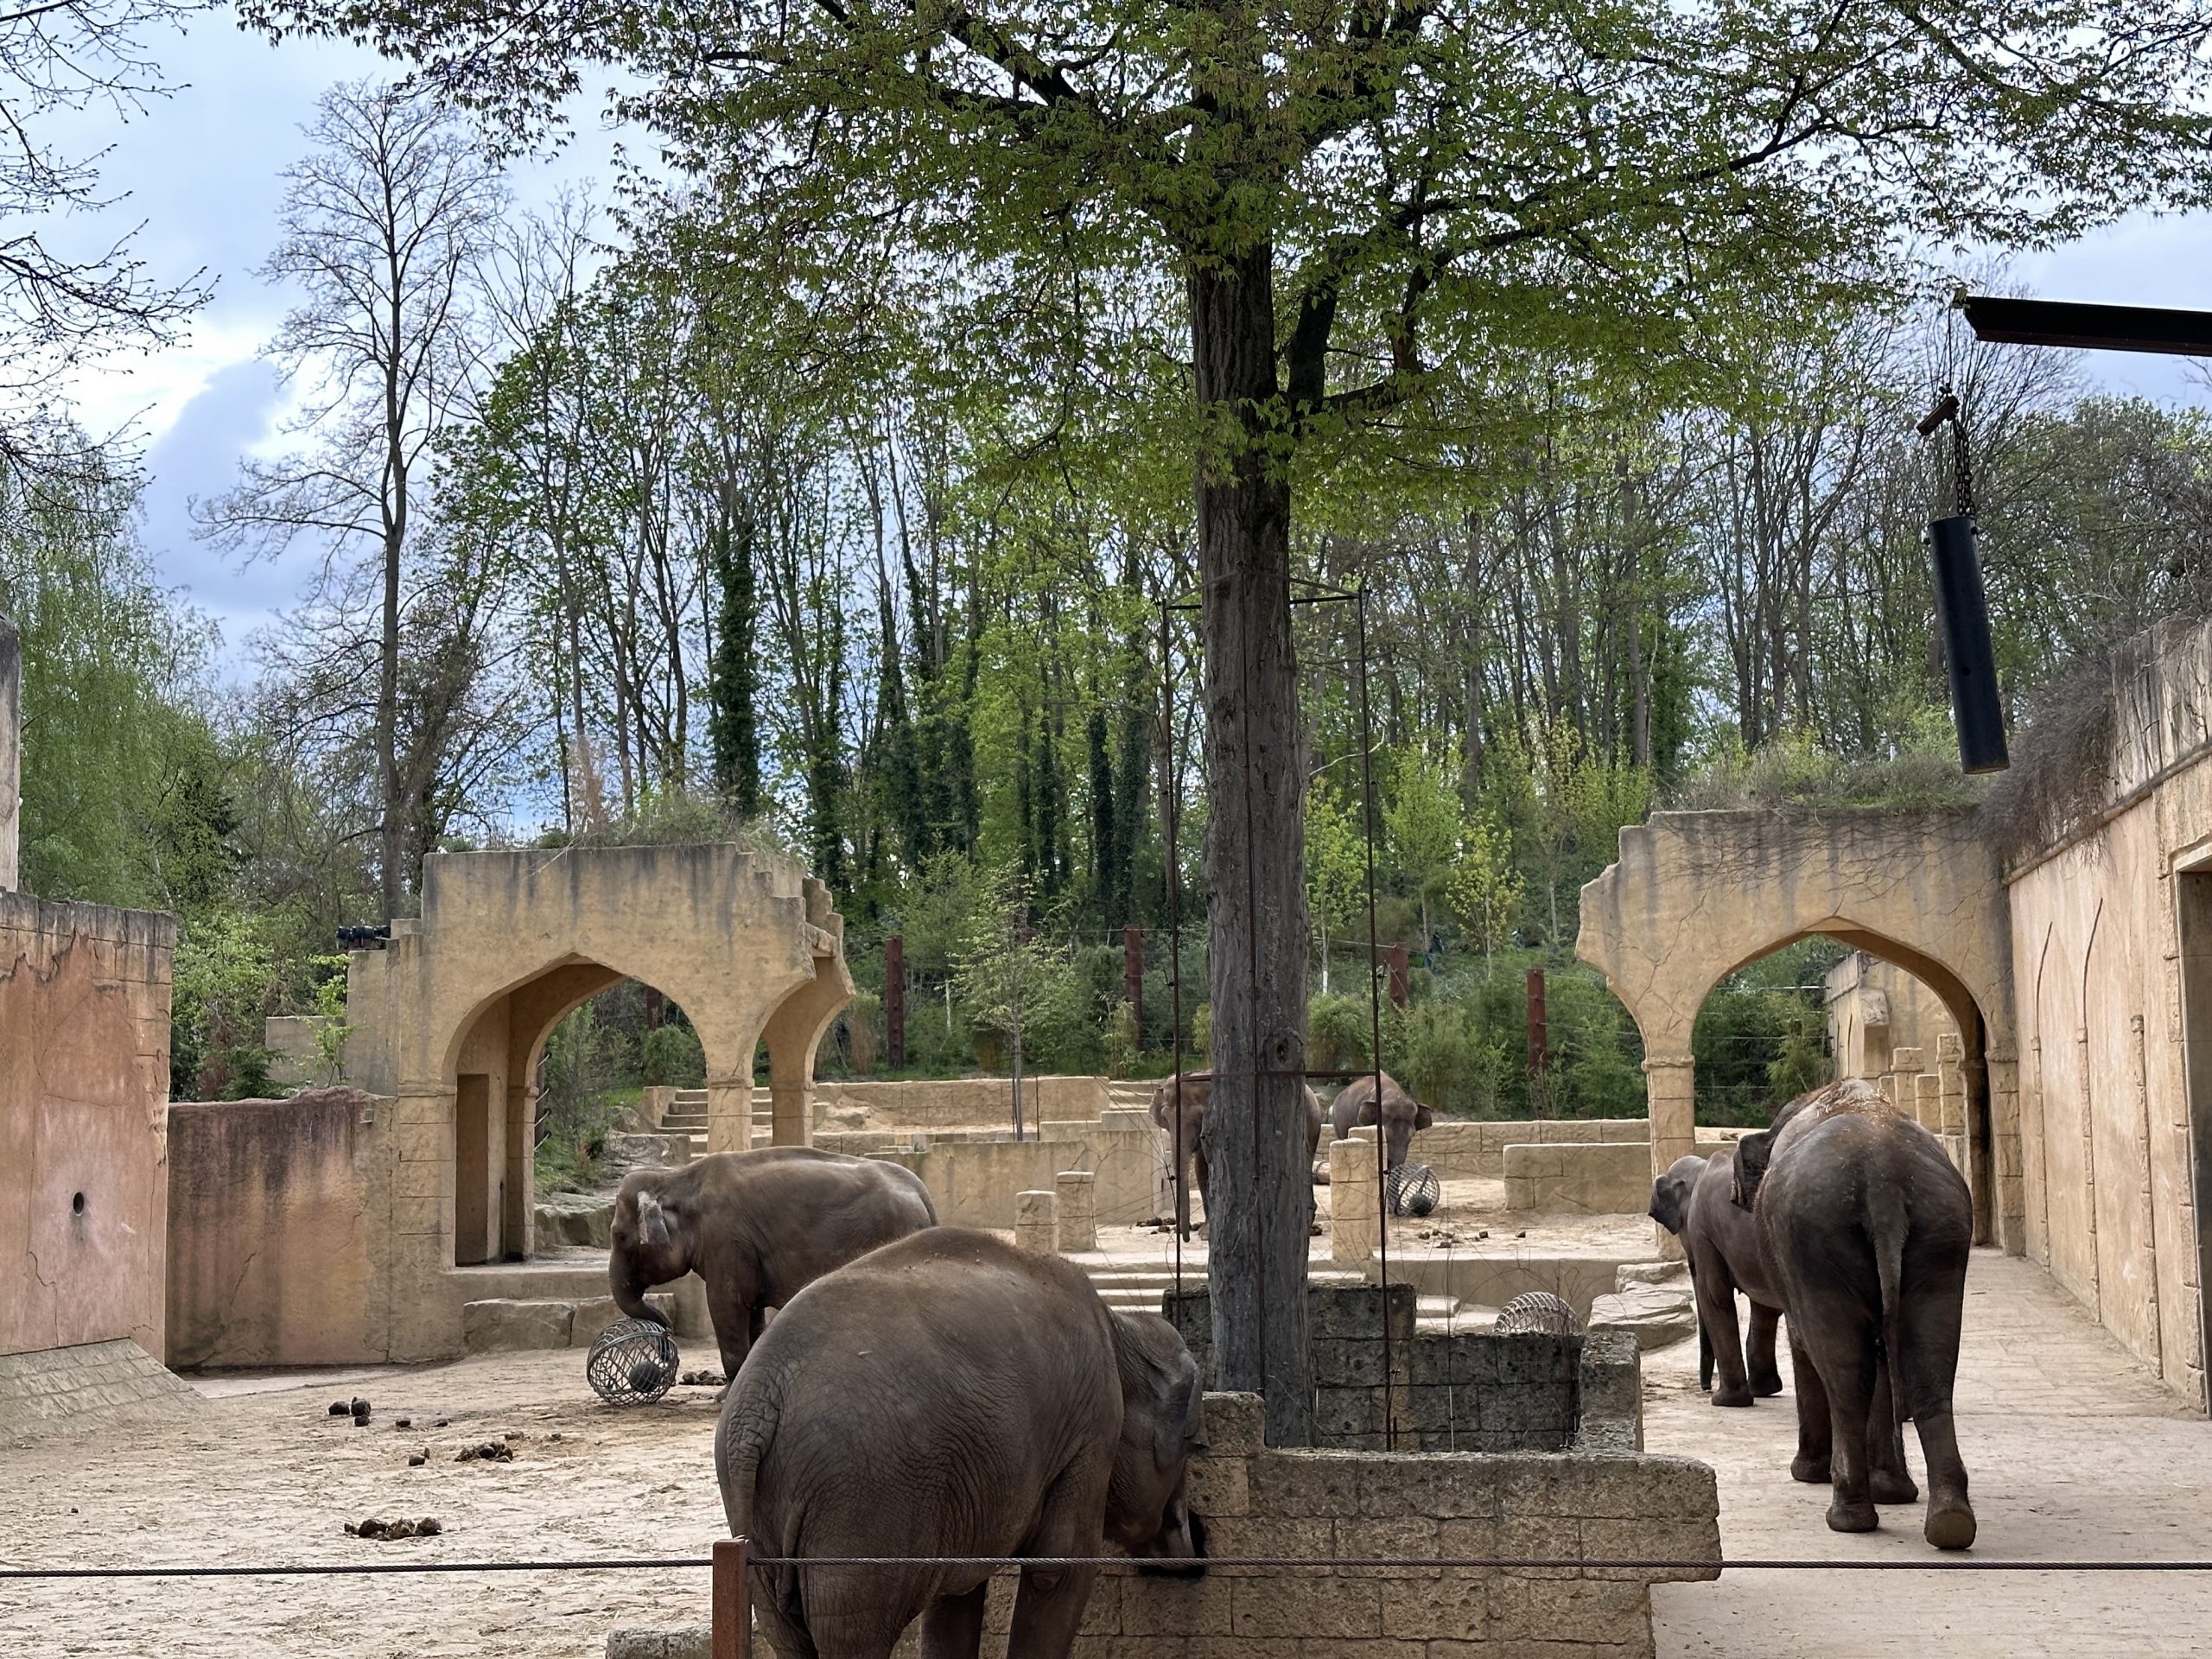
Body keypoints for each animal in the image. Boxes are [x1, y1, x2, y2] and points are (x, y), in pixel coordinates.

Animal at [609, 1147, 937, 1380]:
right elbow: (752, 1310)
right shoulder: (743, 1251)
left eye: (618, 1236)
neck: (676, 1176)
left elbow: (725, 1303)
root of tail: (921, 1189)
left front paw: (723, 1396)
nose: (665, 1353)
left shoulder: (725, 1239)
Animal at [717, 1227, 1205, 1659]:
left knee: (788, 1635)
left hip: (764, 1523)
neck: (1120, 1329)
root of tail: (759, 1395)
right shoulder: (1090, 1432)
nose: (1192, 1559)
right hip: (860, 1503)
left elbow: (956, 1596)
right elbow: (1058, 1569)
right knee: (851, 1635)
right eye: (1191, 1444)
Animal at [1150, 1072, 1324, 1240]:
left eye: (1198, 1116)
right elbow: (1201, 1167)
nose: (1183, 1236)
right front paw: (1205, 1233)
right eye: (1165, 1118)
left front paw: (1206, 1235)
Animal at [1649, 1148, 1784, 1407]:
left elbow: (1714, 1294)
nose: (1705, 1387)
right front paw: (1765, 1390)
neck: (1700, 1167)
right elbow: (1763, 1305)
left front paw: (1725, 1401)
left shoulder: (1702, 1229)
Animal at [1734, 1077, 1976, 1549]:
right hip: (1941, 1232)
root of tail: (1884, 1181)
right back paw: (1950, 1523)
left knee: (1845, 1376)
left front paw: (1808, 1476)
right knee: (1929, 1370)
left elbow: (1803, 1341)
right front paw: (1892, 1491)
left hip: (1817, 1238)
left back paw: (1847, 1516)